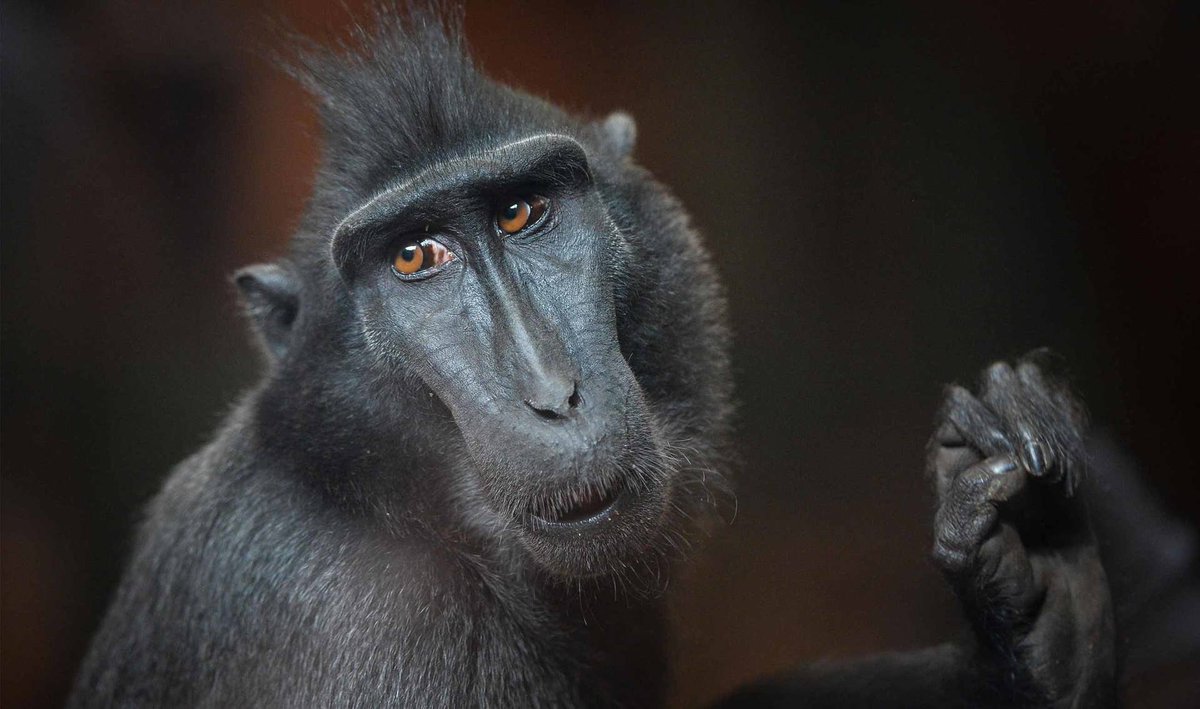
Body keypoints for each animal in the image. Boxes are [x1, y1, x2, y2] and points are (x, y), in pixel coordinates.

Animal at [69, 6, 1128, 707]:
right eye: (416, 258)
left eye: (520, 210)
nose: (551, 393)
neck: (381, 497)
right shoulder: (374, 646)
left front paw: (1040, 611)